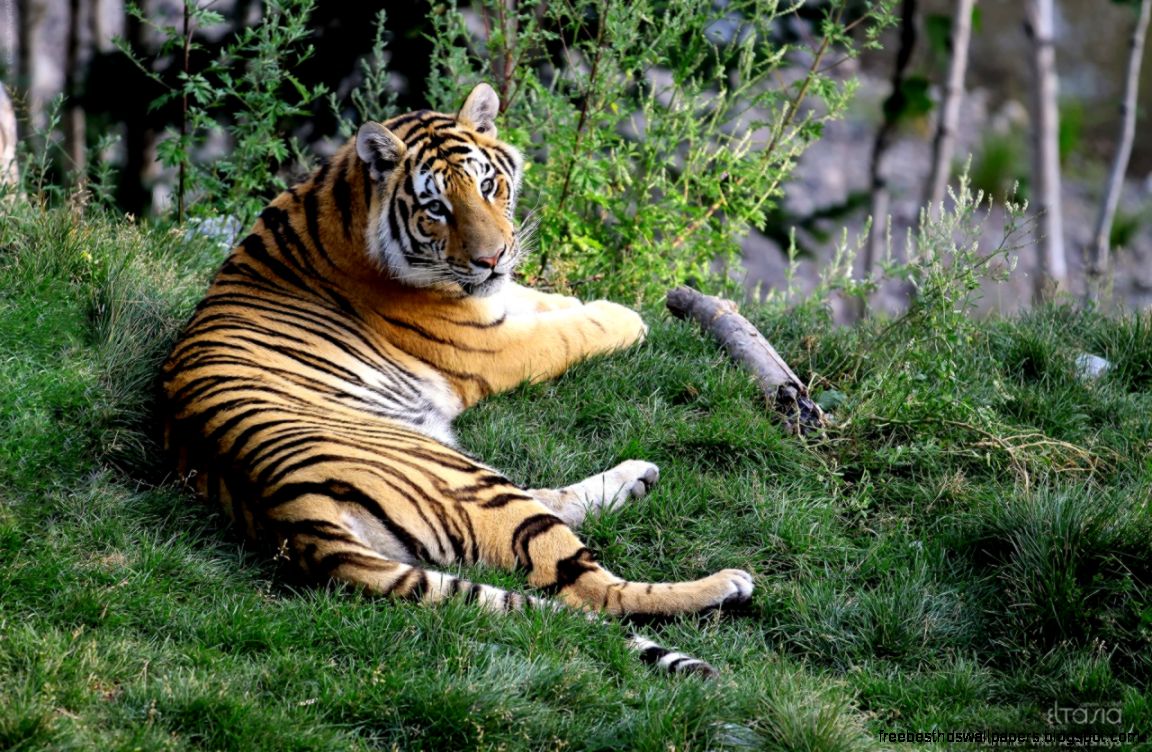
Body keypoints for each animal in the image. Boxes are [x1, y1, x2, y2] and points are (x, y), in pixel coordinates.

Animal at [160, 83, 753, 676]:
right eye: (436, 209)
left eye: (489, 187)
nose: (492, 259)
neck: (344, 199)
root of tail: (289, 515)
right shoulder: (491, 347)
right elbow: (567, 333)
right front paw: (624, 317)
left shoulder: (497, 302)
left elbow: (541, 301)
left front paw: (574, 299)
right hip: (468, 481)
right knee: (592, 590)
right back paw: (725, 585)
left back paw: (637, 477)